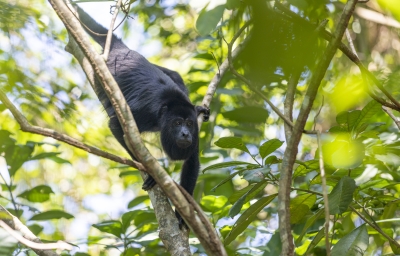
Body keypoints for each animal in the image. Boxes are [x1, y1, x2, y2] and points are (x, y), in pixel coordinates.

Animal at [76, 6, 211, 226]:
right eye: (177, 123)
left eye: (189, 124)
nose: (185, 134)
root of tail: (121, 50)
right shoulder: (144, 114)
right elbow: (117, 126)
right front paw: (150, 173)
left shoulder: (195, 132)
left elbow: (192, 161)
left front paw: (182, 215)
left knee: (175, 75)